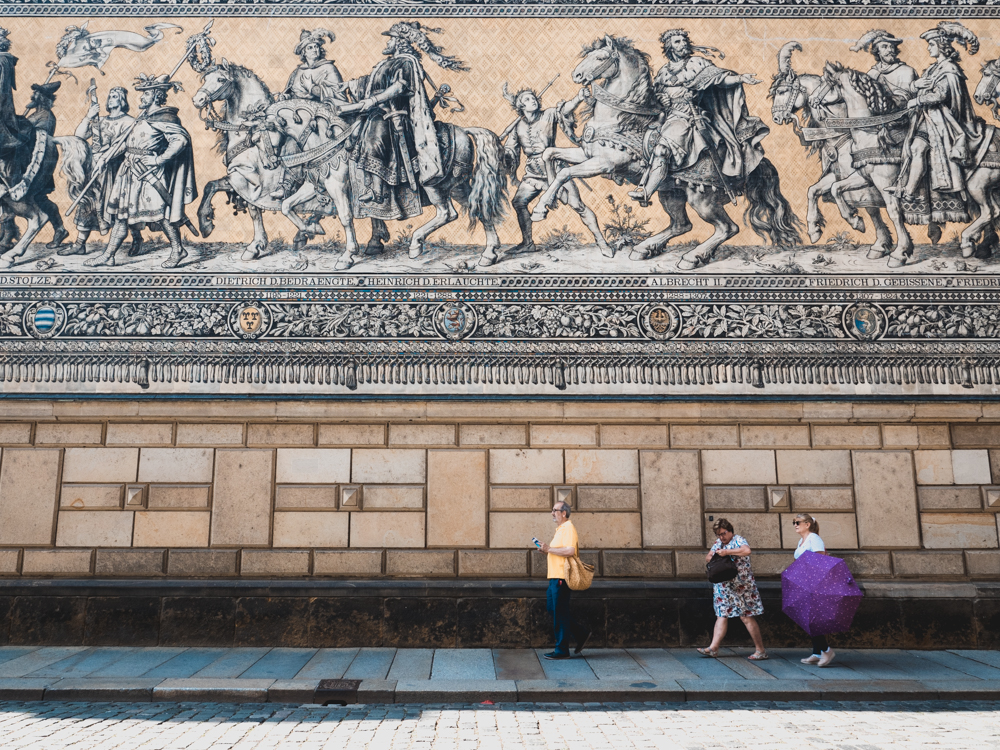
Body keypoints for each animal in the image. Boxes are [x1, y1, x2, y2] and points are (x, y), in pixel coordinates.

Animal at [528, 36, 800, 270]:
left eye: (601, 57)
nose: (577, 75)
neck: (618, 119)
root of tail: (749, 165)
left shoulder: (605, 163)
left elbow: (565, 173)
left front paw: (541, 208)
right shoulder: (586, 154)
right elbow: (551, 156)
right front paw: (553, 200)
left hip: (702, 198)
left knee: (727, 228)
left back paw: (692, 257)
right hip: (671, 192)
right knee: (682, 224)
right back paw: (645, 247)